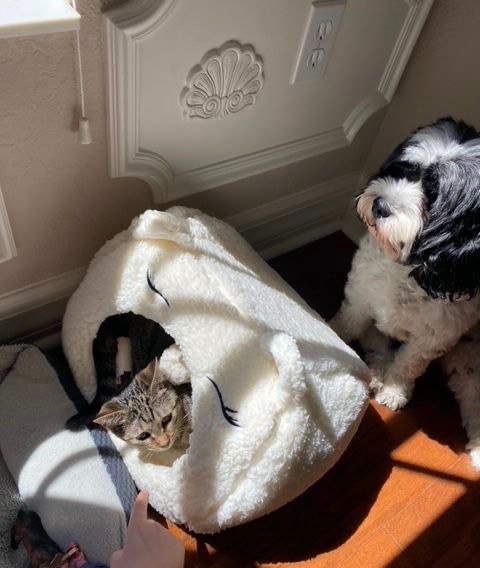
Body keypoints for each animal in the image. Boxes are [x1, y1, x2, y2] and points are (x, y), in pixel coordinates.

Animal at [332, 117, 480, 468]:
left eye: (432, 196)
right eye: (406, 170)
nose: (380, 204)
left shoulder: (434, 336)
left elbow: (408, 363)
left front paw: (395, 389)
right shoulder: (362, 289)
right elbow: (350, 321)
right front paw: (330, 334)